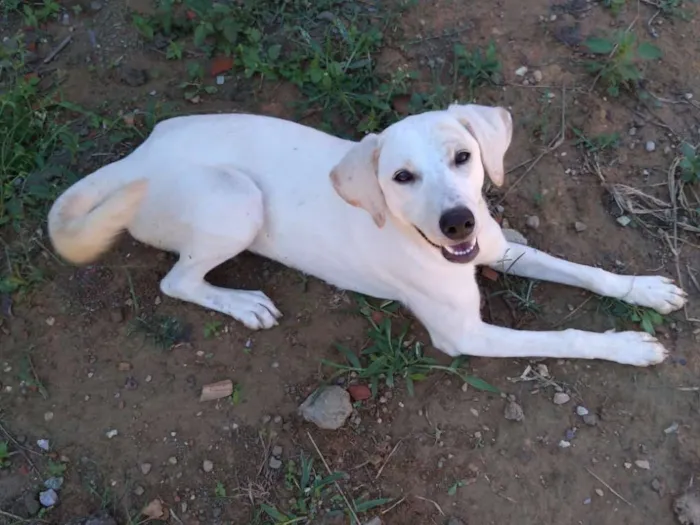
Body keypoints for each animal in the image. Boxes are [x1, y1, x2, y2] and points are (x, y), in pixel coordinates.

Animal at [49, 104, 688, 366]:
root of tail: (136, 159)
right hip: (237, 201)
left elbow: (585, 272)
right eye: (402, 177)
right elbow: (564, 337)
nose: (459, 222)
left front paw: (645, 290)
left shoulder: (500, 247)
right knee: (177, 281)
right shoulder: (464, 335)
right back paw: (241, 301)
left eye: (463, 157)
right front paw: (627, 347)